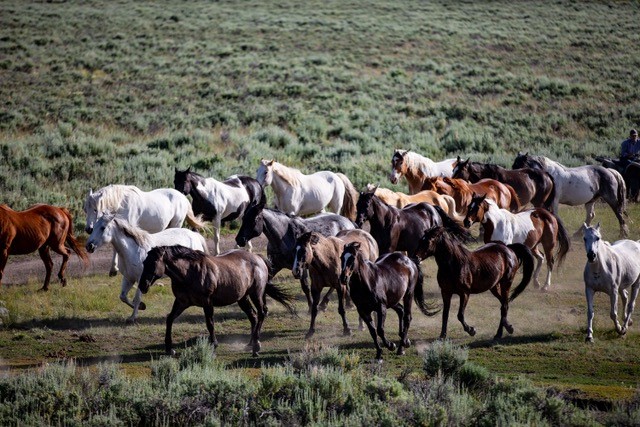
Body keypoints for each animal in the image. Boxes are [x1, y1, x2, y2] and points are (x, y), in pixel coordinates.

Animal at [139, 246, 296, 356]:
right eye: (144, 262)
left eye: (154, 262)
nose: (142, 285)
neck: (189, 273)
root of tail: (258, 258)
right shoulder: (182, 302)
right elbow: (169, 319)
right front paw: (169, 349)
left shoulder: (207, 302)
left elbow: (210, 323)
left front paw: (214, 344)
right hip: (243, 298)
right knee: (253, 316)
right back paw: (250, 344)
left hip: (256, 294)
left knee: (262, 312)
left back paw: (256, 346)